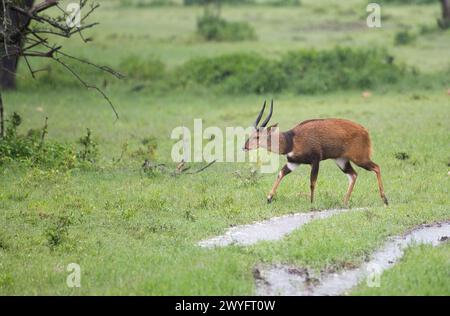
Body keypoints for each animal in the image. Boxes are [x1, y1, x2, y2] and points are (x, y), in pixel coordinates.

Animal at [244, 100, 388, 206]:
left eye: (257, 136)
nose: (244, 147)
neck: (292, 139)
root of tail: (365, 131)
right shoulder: (293, 162)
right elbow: (280, 174)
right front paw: (269, 198)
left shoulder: (315, 160)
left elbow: (312, 182)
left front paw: (312, 202)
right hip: (341, 160)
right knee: (353, 175)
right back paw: (344, 202)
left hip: (360, 158)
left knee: (376, 167)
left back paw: (385, 199)